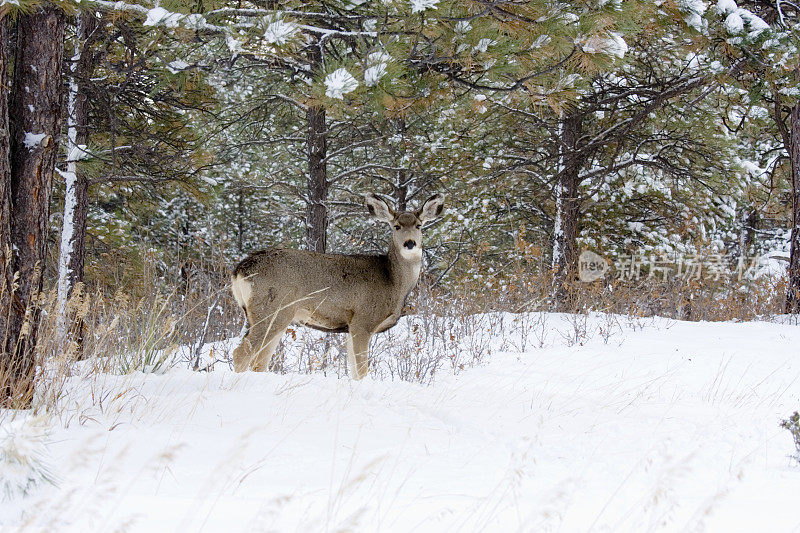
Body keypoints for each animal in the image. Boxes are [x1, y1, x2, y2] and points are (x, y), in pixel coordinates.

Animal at [231, 191, 446, 378]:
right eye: (396, 226)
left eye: (419, 225)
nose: (410, 243)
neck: (394, 282)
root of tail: (240, 270)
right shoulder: (362, 320)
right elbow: (362, 371)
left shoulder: (350, 327)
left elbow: (354, 371)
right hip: (270, 309)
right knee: (241, 353)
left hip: (278, 316)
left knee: (259, 362)